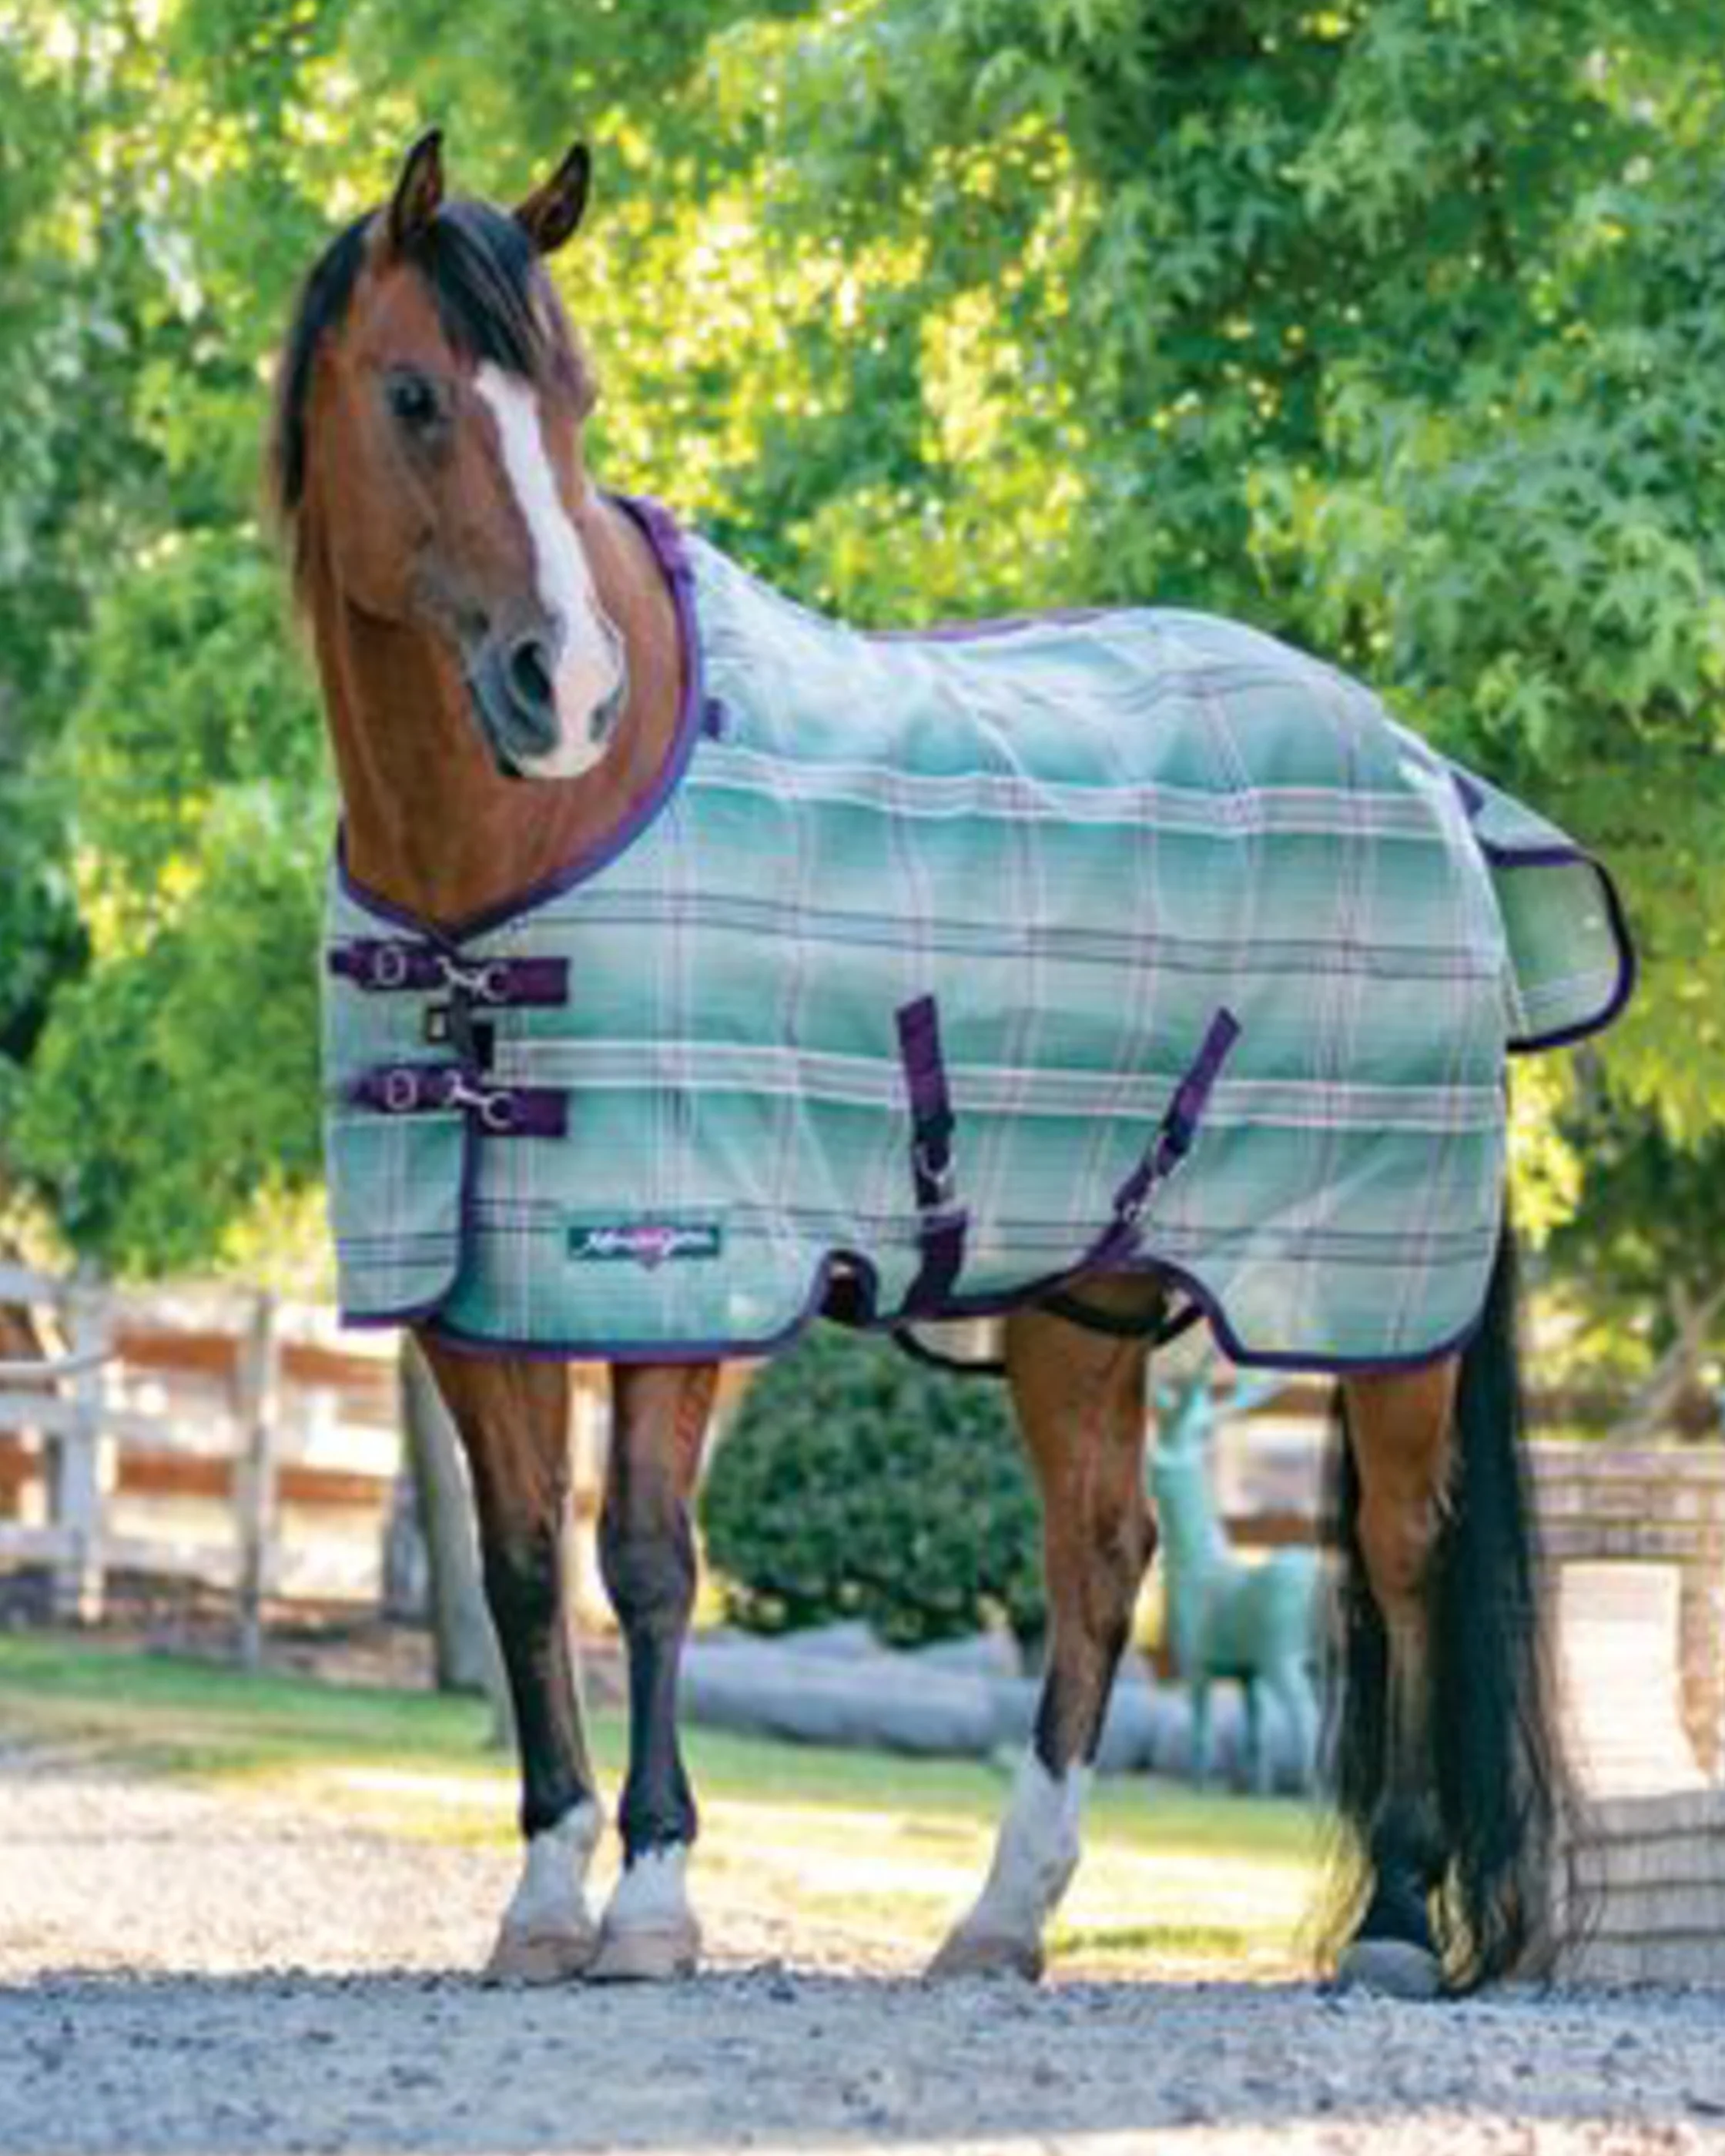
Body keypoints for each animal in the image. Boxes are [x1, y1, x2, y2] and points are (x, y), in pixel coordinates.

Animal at [270, 130, 1633, 1998]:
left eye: (575, 399)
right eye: (413, 395)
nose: (569, 688)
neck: (509, 852)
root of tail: (1423, 768)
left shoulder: (686, 1261)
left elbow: (648, 1560)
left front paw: (654, 1900)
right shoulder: (478, 1289)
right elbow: (523, 1568)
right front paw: (544, 1896)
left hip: (1374, 1292)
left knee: (1404, 1552)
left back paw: (1395, 1922)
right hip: (1091, 1292)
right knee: (1103, 1556)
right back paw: (1000, 1916)